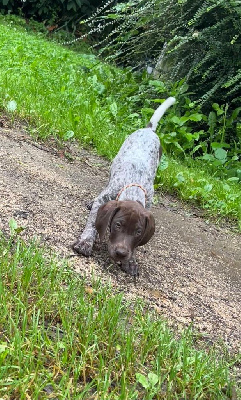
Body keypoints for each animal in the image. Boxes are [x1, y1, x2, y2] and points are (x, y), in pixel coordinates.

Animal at [72, 97, 176, 276]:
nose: (121, 253)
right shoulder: (105, 199)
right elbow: (92, 223)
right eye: (118, 225)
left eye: (138, 232)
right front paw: (86, 242)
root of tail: (149, 130)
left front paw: (131, 261)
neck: (133, 187)